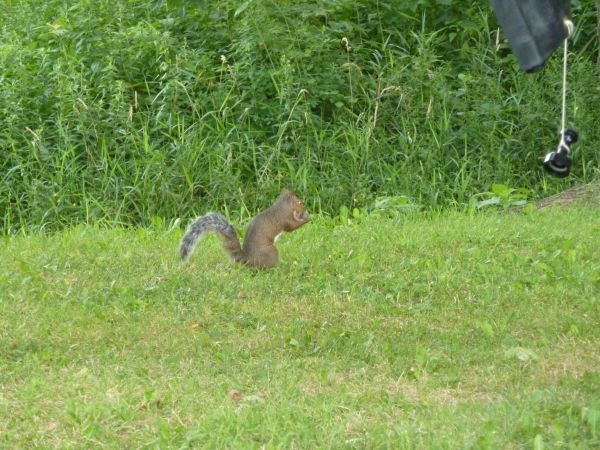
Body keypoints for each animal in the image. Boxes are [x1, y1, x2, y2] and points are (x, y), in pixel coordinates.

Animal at [178, 189, 310, 268]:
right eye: (299, 203)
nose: (304, 209)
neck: (281, 206)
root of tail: (249, 260)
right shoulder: (284, 218)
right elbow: (291, 227)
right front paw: (306, 219)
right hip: (271, 252)